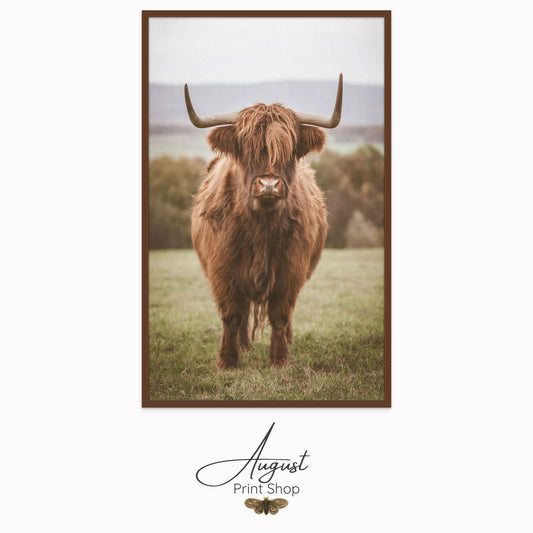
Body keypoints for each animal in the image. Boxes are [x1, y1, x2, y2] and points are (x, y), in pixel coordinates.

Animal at [185, 74, 342, 366]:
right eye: (246, 149)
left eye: (289, 150)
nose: (268, 184)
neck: (261, 225)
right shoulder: (223, 270)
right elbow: (231, 314)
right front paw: (228, 360)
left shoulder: (291, 270)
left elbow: (280, 314)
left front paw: (279, 359)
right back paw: (243, 345)